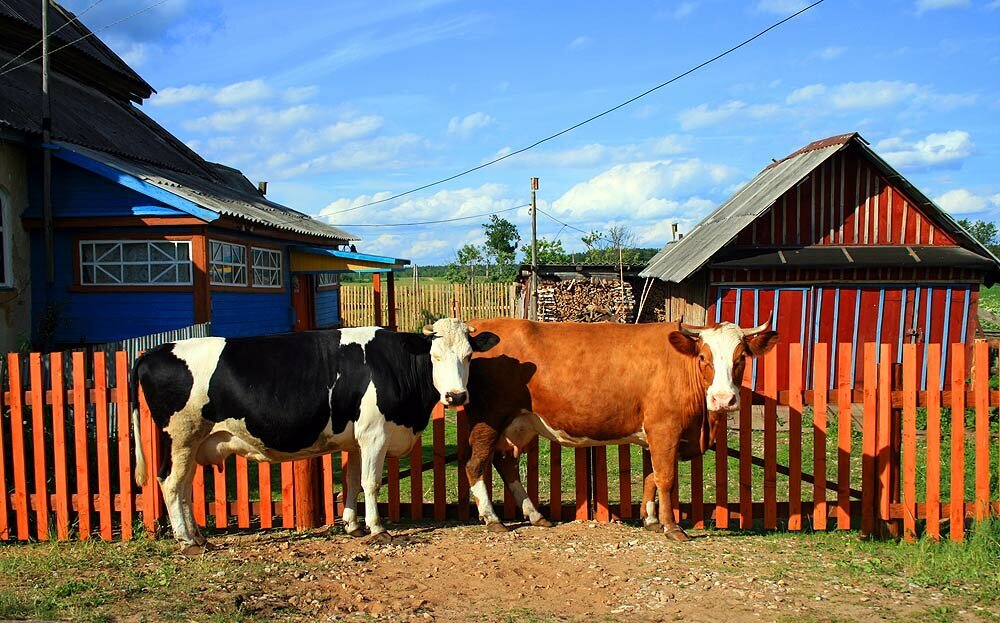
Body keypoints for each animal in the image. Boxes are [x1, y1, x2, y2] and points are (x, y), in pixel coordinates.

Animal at [131, 320, 498, 548]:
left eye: (469, 356)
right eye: (434, 356)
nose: (456, 396)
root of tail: (155, 351)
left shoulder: (357, 440)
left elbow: (351, 481)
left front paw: (352, 525)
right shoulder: (374, 435)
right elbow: (370, 483)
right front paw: (377, 528)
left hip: (193, 442)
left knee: (184, 486)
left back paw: (197, 536)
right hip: (181, 436)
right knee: (170, 483)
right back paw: (186, 541)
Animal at [464, 320, 776, 540]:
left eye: (742, 358)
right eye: (702, 357)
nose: (723, 399)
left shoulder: (654, 435)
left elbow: (651, 477)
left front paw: (651, 520)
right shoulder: (665, 428)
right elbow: (666, 479)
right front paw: (672, 528)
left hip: (518, 423)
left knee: (505, 463)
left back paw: (536, 516)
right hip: (488, 418)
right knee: (475, 464)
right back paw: (493, 519)